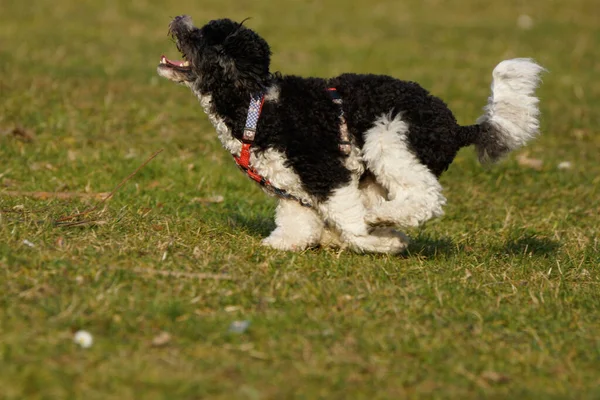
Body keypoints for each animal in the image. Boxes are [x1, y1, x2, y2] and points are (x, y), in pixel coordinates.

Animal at [158, 16, 544, 253]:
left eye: (200, 38)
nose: (178, 18)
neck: (256, 105)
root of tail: (457, 128)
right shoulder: (292, 185)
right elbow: (298, 220)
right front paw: (285, 243)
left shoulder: (328, 173)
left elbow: (349, 218)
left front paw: (380, 243)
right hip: (375, 170)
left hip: (389, 139)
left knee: (424, 198)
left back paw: (381, 223)